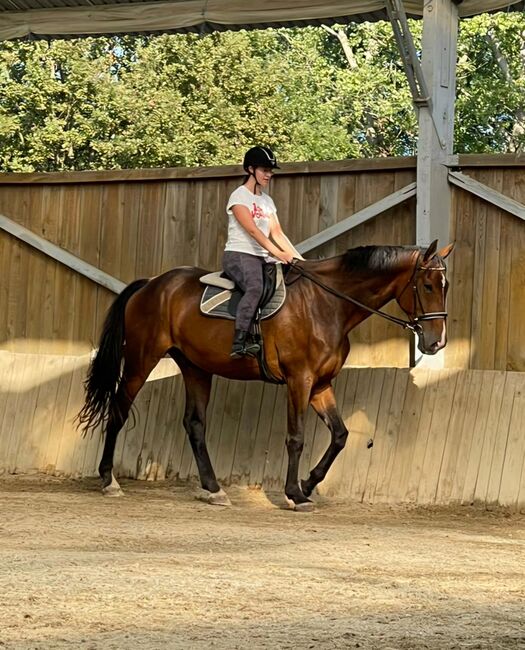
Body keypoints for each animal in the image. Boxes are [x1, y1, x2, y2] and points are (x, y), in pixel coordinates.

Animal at [75, 238, 452, 506]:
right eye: (428, 286)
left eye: (445, 285)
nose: (436, 342)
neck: (326, 304)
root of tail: (151, 283)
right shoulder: (299, 380)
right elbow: (296, 437)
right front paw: (295, 494)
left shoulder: (321, 384)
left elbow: (340, 435)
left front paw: (308, 483)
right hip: (142, 359)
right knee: (119, 410)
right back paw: (109, 480)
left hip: (196, 367)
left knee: (194, 424)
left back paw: (213, 489)